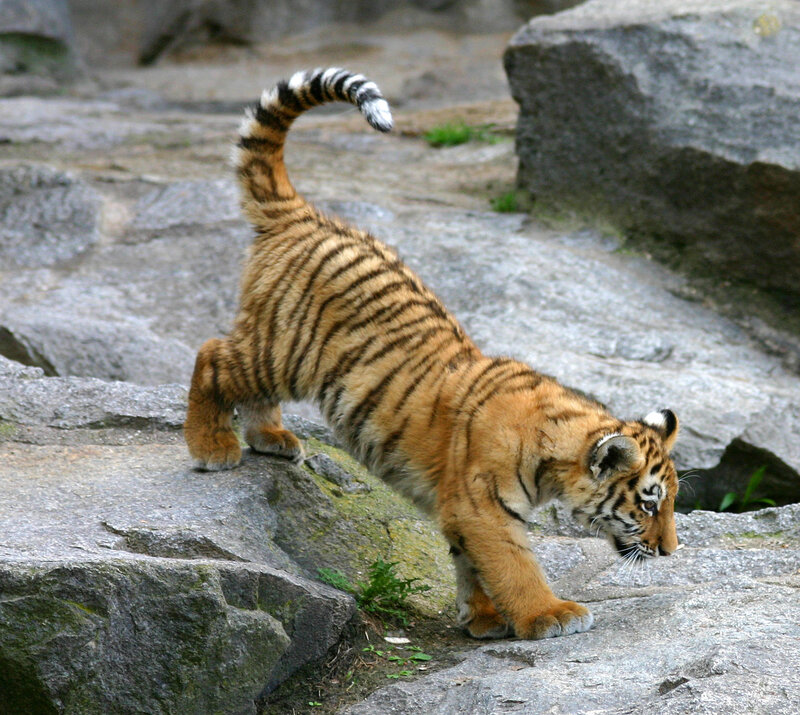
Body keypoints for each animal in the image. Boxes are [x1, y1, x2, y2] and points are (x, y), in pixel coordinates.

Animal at [184, 67, 681, 640]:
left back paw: (271, 439)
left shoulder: (461, 507)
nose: (671, 552)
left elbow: (470, 563)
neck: (554, 458)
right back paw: (212, 446)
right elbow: (514, 564)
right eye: (648, 504)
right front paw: (548, 614)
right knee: (212, 353)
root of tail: (304, 214)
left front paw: (482, 618)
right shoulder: (483, 505)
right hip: (284, 350)